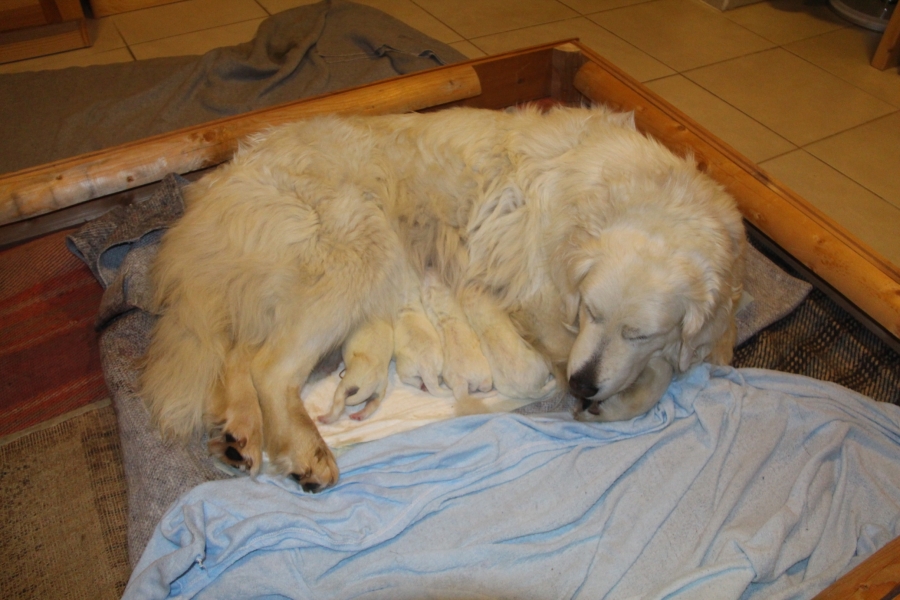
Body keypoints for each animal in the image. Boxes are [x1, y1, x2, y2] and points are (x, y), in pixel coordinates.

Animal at [141, 105, 745, 491]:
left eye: (639, 331)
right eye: (592, 312)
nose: (580, 387)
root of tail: (217, 188)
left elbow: (670, 364)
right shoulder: (544, 304)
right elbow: (646, 376)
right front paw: (613, 403)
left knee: (239, 356)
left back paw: (240, 435)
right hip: (361, 250)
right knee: (270, 366)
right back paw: (307, 453)